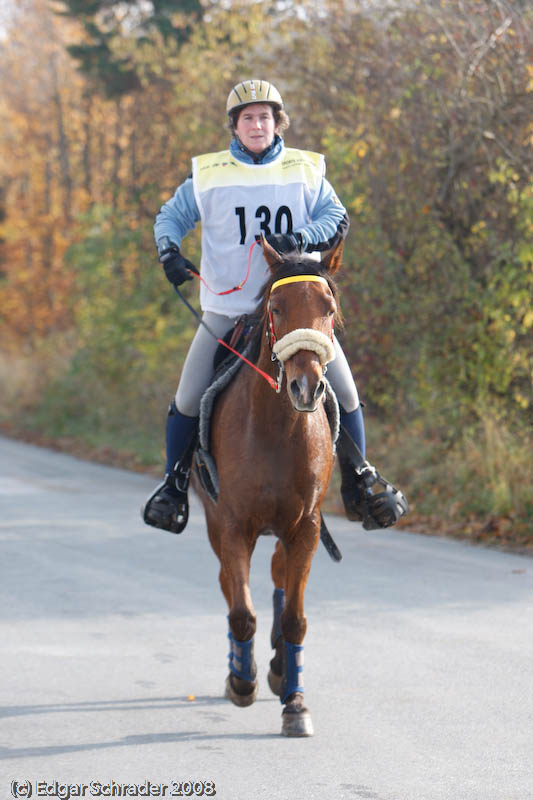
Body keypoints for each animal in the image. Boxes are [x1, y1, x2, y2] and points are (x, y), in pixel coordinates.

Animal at [193, 238, 342, 736]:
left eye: (329, 309)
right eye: (277, 308)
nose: (306, 387)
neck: (280, 429)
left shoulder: (306, 527)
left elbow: (295, 618)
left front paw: (295, 704)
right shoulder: (233, 525)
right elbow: (242, 612)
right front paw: (243, 681)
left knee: (280, 579)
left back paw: (279, 670)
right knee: (229, 583)